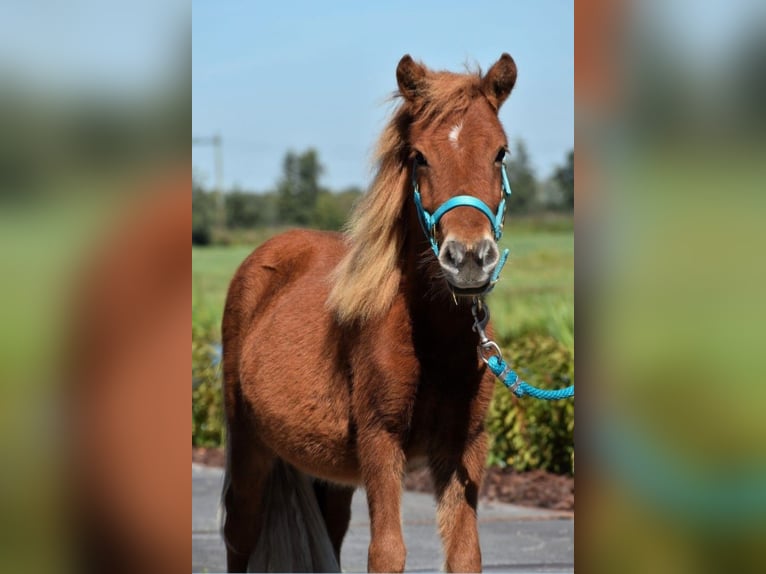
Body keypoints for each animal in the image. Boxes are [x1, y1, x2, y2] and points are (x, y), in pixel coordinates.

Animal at [222, 53, 520, 572]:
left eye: (500, 152)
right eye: (419, 156)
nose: (467, 259)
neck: (432, 337)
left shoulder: (466, 444)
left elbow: (465, 553)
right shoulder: (381, 440)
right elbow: (387, 551)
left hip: (330, 471)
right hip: (249, 449)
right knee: (240, 536)